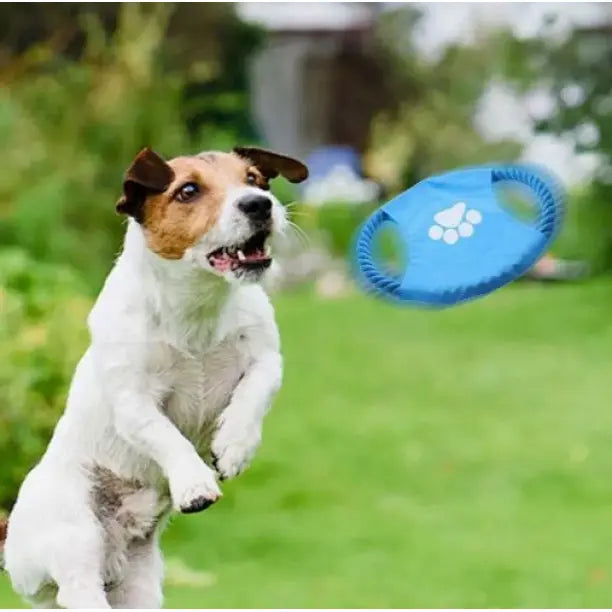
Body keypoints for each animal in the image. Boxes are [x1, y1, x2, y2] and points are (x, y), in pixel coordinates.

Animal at [0, 146, 306, 608]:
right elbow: (166, 436)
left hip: (140, 586)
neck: (196, 308)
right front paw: (195, 483)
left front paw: (234, 447)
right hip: (74, 531)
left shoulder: (266, 358)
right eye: (188, 190)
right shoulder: (132, 401)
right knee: (79, 589)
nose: (259, 204)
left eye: (254, 179)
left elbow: (254, 394)